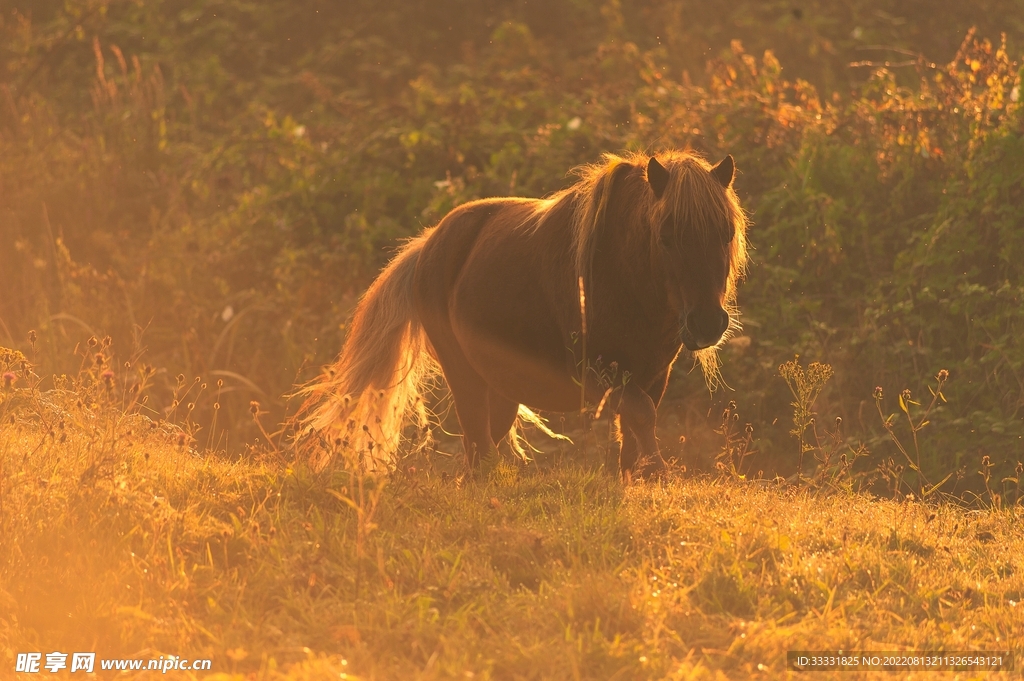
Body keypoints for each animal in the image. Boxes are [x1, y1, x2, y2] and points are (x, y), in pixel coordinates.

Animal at [297, 150, 748, 475]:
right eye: (666, 235)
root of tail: (428, 245)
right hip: (464, 374)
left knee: (483, 445)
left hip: (500, 385)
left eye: (726, 233)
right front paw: (657, 472)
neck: (621, 275)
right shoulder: (602, 370)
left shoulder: (652, 374)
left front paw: (638, 476)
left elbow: (636, 428)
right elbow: (640, 416)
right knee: (477, 446)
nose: (707, 323)